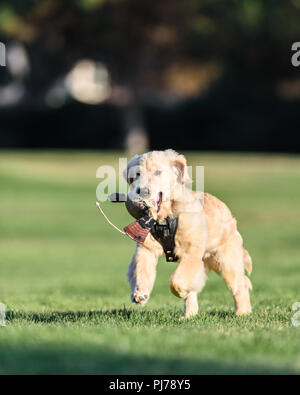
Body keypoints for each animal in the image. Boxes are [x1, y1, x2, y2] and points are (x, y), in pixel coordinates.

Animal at [124, 149, 253, 318]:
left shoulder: (191, 252)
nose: (142, 190)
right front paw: (140, 293)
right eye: (137, 174)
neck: (166, 217)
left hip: (226, 260)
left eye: (158, 172)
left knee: (240, 285)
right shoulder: (146, 248)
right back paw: (188, 316)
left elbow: (176, 280)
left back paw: (242, 313)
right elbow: (141, 270)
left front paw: (180, 291)